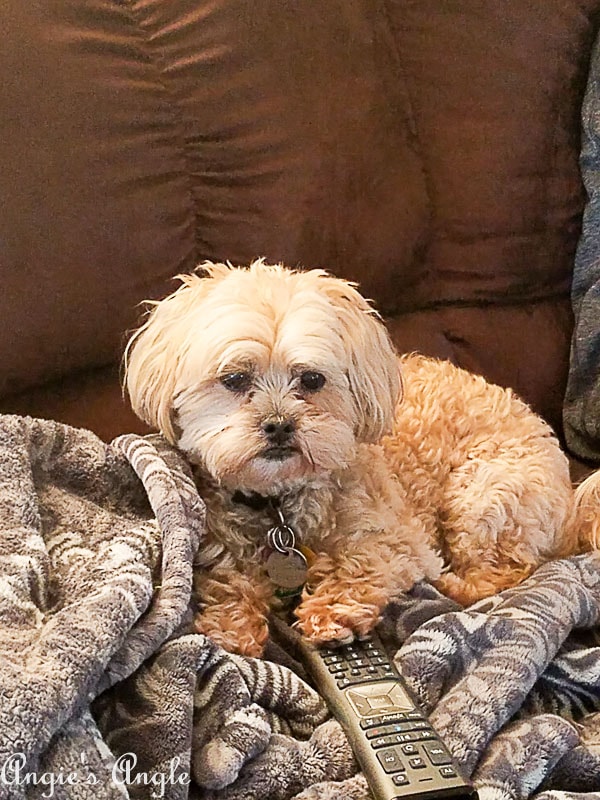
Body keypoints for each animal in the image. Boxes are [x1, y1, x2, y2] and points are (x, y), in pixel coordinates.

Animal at [124, 262, 580, 656]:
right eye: (234, 379)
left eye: (312, 379)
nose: (279, 425)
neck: (278, 505)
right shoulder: (221, 548)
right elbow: (229, 580)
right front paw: (231, 629)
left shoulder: (400, 541)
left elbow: (362, 563)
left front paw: (330, 614)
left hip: (482, 495)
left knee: (505, 572)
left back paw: (453, 585)